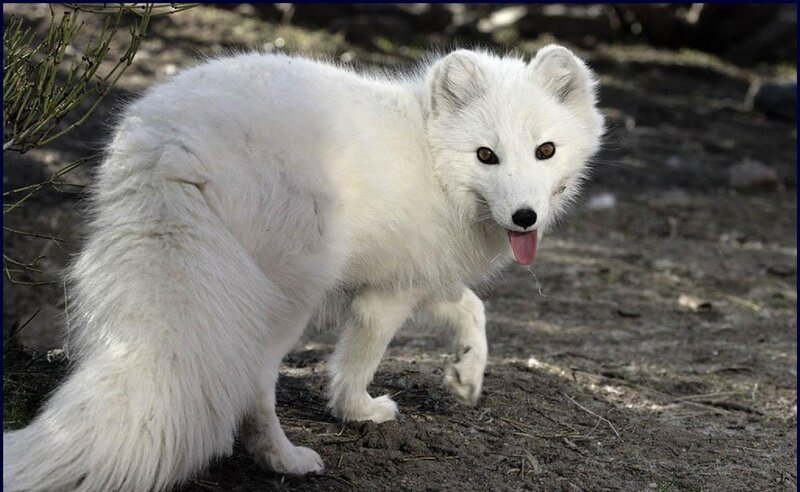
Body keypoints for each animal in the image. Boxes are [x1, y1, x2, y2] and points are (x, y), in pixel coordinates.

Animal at [3, 45, 604, 491]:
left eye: (545, 150)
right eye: (486, 156)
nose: (525, 217)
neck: (430, 157)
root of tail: (172, 146)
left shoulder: (413, 274)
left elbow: (472, 309)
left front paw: (466, 375)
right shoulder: (382, 298)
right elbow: (359, 360)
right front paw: (357, 411)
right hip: (288, 297)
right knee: (253, 384)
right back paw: (284, 460)